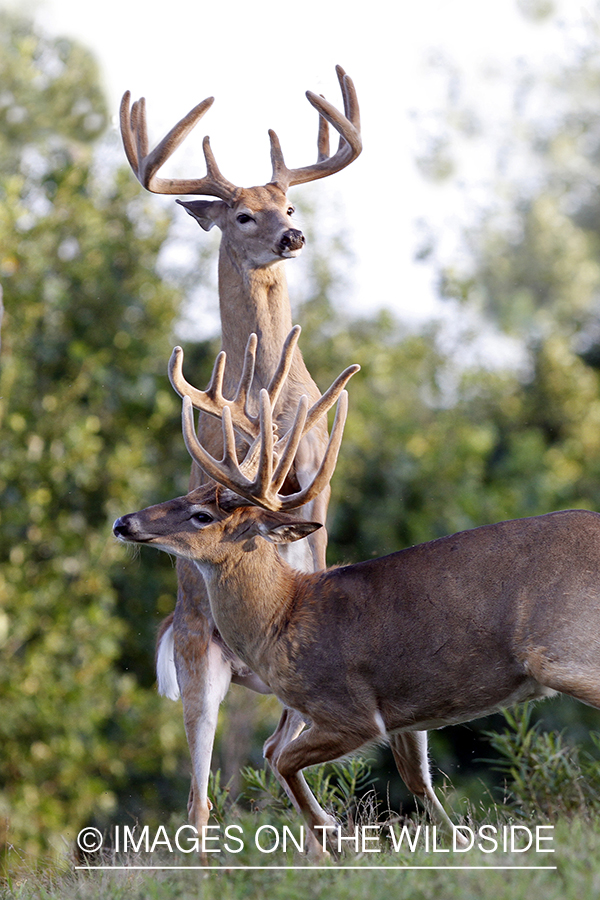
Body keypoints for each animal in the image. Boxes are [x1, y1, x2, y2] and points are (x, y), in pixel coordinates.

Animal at [113, 340, 600, 856]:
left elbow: (284, 760)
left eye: (202, 515)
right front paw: (456, 843)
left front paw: (335, 837)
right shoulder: (404, 712)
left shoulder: (351, 710)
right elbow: (415, 777)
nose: (123, 522)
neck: (284, 616)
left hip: (566, 650)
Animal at [118, 68, 360, 836]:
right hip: (199, 658)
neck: (270, 394)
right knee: (199, 796)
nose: (293, 234)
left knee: (269, 747)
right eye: (243, 216)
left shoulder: (317, 481)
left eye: (288, 201)